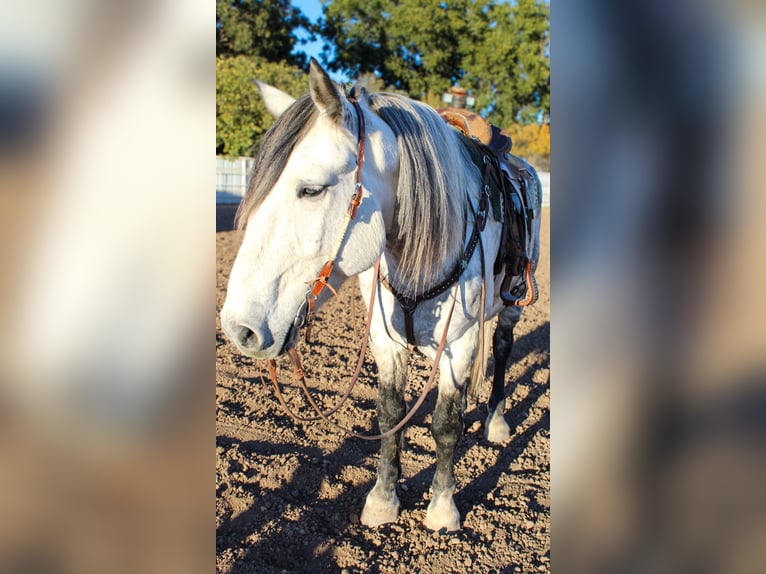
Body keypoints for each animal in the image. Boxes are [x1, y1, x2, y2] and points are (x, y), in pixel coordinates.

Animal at [220, 58, 541, 532]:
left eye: (311, 189)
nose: (238, 328)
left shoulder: (460, 341)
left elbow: (446, 424)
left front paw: (442, 509)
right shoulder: (385, 341)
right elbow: (390, 414)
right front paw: (383, 500)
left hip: (511, 304)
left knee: (502, 348)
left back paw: (497, 422)